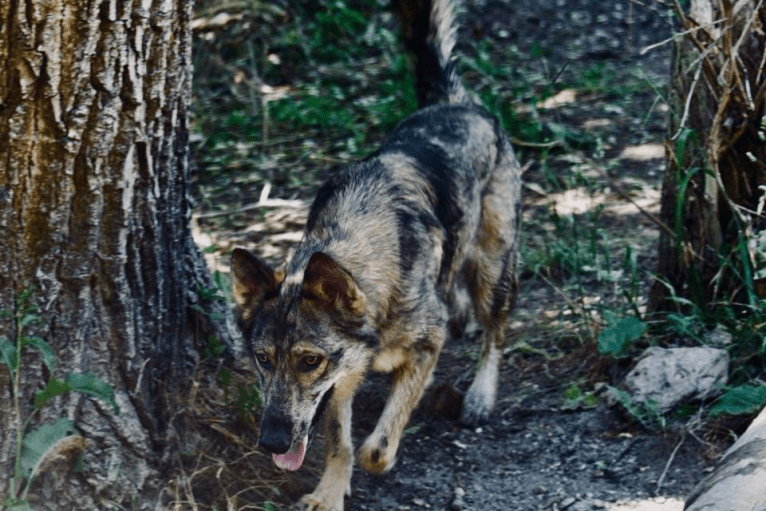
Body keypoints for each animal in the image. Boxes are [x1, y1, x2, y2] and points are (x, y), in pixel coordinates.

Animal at [231, 2, 524, 510]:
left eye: (309, 361)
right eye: (263, 359)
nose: (270, 442)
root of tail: (456, 102)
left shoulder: (424, 346)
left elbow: (376, 449)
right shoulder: (343, 381)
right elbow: (340, 443)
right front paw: (328, 494)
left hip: (494, 267)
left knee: (498, 327)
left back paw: (480, 395)